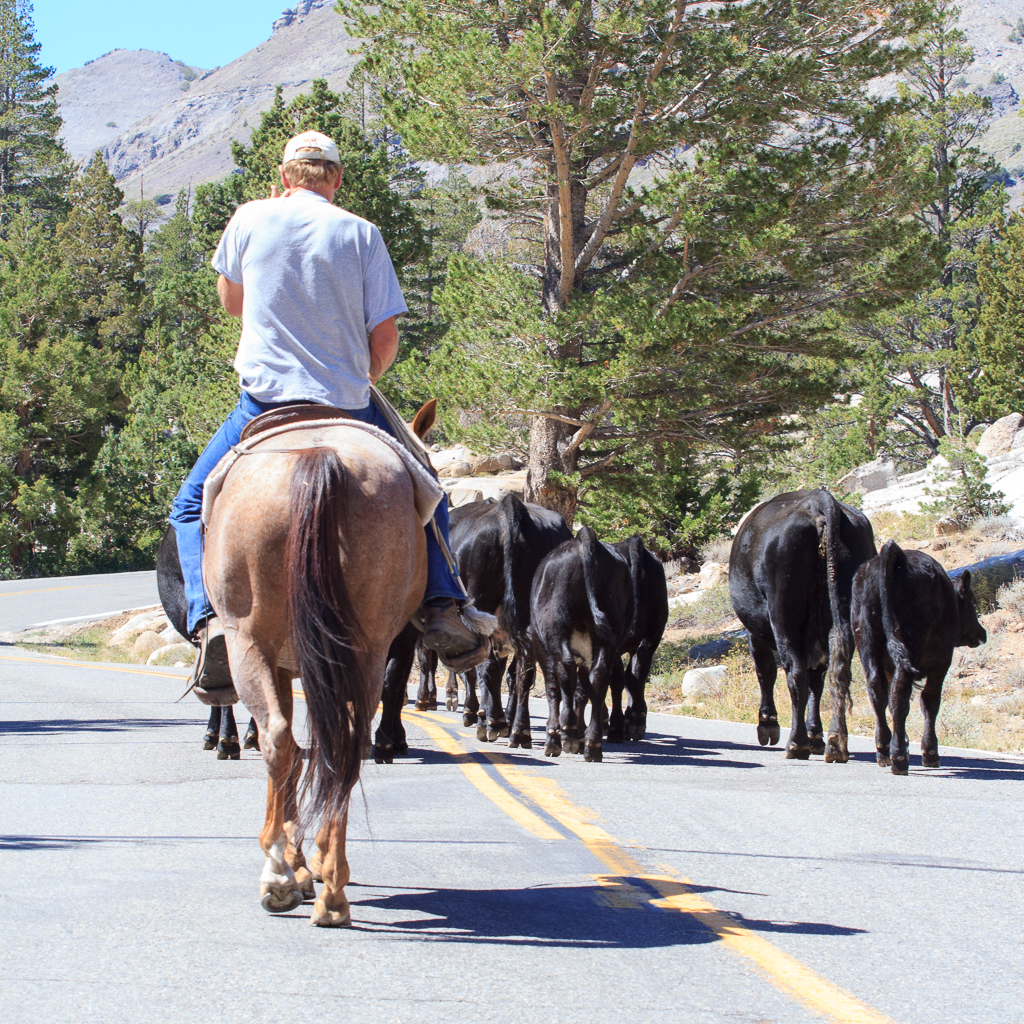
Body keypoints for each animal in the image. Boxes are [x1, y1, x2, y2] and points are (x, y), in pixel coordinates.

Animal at [201, 407, 438, 929]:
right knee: (344, 746)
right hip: (366, 650)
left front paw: (294, 865)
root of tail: (319, 457)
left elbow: (288, 750)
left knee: (278, 739)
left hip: (248, 644)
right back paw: (333, 890)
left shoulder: (277, 662)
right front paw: (309, 865)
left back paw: (278, 874)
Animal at [532, 528, 634, 761]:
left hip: (555, 629)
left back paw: (568, 732)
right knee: (599, 677)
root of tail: (584, 538)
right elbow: (583, 691)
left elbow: (553, 688)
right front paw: (580, 738)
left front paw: (555, 738)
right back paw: (592, 744)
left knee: (566, 670)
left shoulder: (541, 647)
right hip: (608, 635)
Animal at [729, 487, 872, 761]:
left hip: (783, 616)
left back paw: (796, 743)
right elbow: (817, 680)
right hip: (843, 615)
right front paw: (816, 735)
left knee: (795, 673)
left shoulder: (755, 632)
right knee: (838, 672)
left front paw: (768, 725)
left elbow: (766, 672)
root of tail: (819, 501)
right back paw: (836, 743)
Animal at [851, 540, 987, 770]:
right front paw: (930, 752)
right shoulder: (942, 660)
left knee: (878, 692)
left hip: (867, 647)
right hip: (911, 648)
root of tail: (894, 553)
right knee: (900, 696)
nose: (982, 633)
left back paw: (884, 750)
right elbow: (930, 701)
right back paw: (899, 758)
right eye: (972, 602)